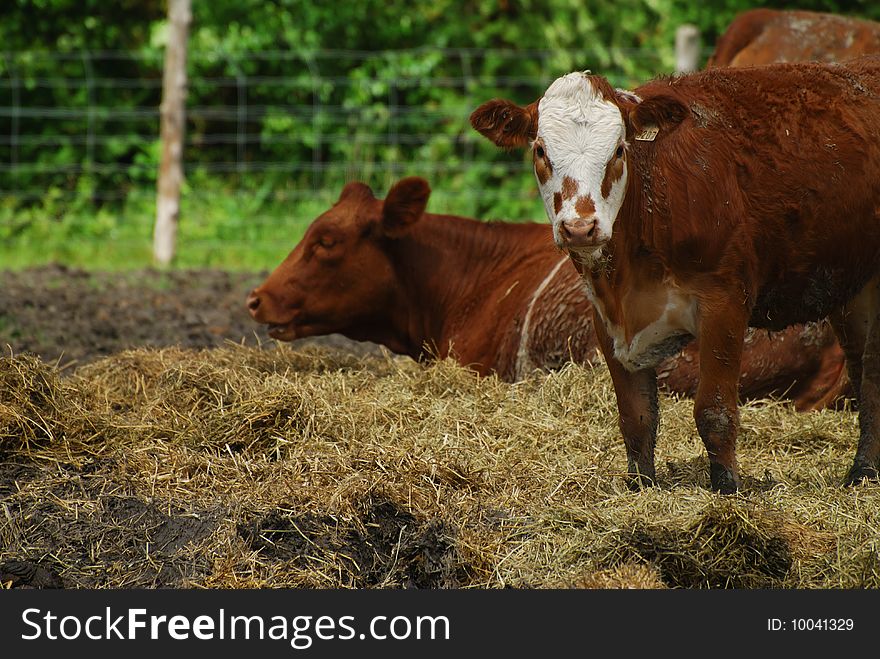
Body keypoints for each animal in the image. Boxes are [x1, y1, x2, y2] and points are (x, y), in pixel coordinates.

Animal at [470, 55, 880, 490]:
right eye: (541, 150)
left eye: (619, 150)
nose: (580, 227)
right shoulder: (607, 316)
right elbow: (635, 415)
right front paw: (640, 486)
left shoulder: (725, 301)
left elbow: (714, 411)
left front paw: (726, 489)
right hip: (853, 285)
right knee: (864, 371)